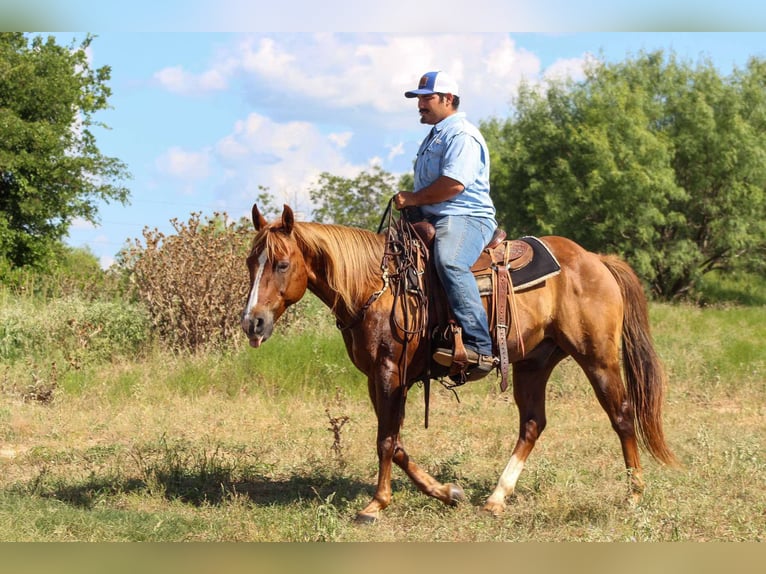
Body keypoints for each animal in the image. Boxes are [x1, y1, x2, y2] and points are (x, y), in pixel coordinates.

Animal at [240, 203, 676, 523]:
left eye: (281, 264)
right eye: (250, 263)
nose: (252, 322)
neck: (377, 287)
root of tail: (595, 259)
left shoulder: (390, 373)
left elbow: (386, 440)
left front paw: (376, 505)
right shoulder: (378, 378)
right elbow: (397, 442)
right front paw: (447, 493)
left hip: (598, 357)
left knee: (622, 414)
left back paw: (633, 494)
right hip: (533, 363)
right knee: (532, 423)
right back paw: (497, 498)